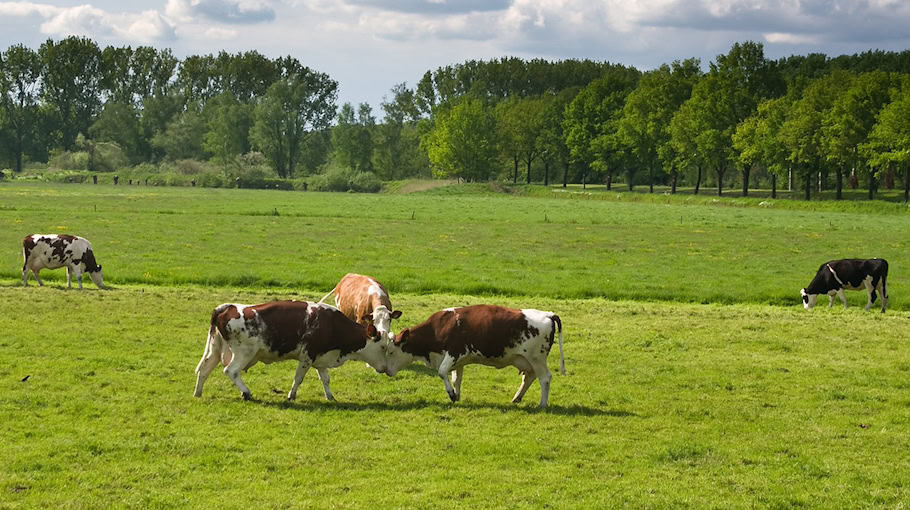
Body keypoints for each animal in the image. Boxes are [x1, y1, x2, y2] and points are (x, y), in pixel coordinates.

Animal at [194, 298, 386, 402]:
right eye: (384, 347)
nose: (386, 369)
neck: (331, 324)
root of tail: (228, 307)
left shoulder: (321, 357)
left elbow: (325, 379)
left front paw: (330, 396)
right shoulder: (307, 357)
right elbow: (298, 378)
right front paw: (291, 395)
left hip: (215, 349)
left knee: (204, 370)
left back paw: (198, 393)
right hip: (244, 353)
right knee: (231, 371)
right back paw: (246, 392)